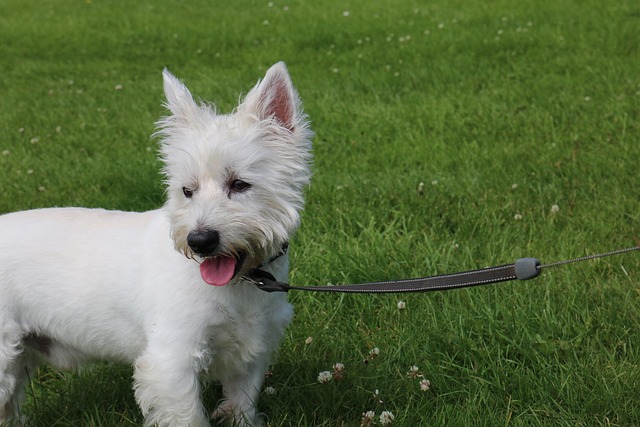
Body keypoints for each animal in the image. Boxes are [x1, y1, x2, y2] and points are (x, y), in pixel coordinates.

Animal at [0, 61, 312, 427]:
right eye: (187, 191)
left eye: (240, 184)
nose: (200, 241)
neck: (241, 285)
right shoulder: (171, 361)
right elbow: (188, 416)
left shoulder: (251, 352)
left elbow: (242, 405)